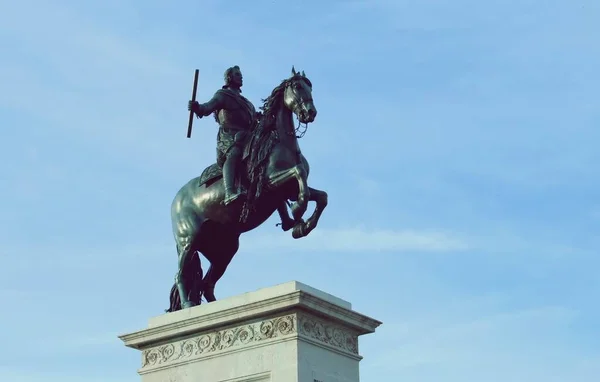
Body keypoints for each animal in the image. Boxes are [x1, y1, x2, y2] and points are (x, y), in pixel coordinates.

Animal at [168, 67, 328, 312]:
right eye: (297, 86)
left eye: (309, 87)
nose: (310, 112)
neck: (280, 143)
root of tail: (175, 201)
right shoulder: (269, 184)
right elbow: (299, 174)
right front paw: (298, 211)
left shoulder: (288, 191)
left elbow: (320, 196)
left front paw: (302, 225)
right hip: (188, 240)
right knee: (181, 274)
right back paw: (188, 304)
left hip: (223, 249)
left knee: (206, 283)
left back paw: (216, 306)